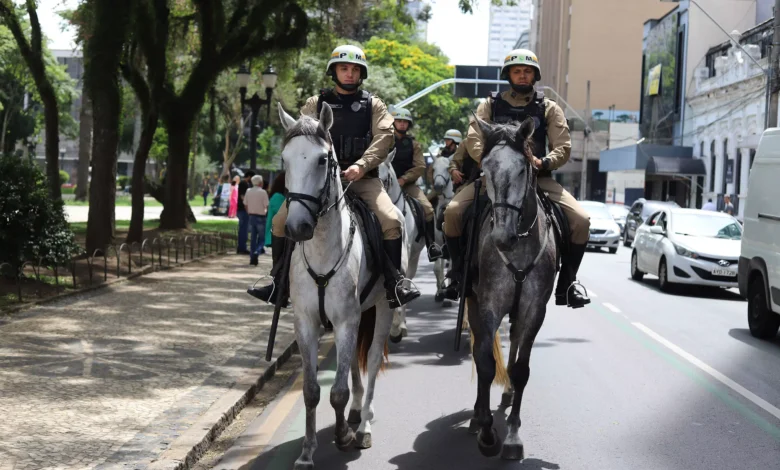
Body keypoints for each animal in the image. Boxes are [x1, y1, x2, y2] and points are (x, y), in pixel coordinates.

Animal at [278, 103, 406, 470]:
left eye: (323, 159)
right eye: (284, 159)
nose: (297, 227)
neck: (323, 248)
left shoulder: (347, 320)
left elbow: (337, 391)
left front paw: (343, 436)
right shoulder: (307, 322)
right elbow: (312, 391)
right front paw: (307, 452)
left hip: (381, 308)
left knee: (372, 360)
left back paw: (362, 426)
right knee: (353, 369)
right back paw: (355, 413)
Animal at [466, 116, 556, 458]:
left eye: (521, 169)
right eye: (485, 168)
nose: (502, 237)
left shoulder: (535, 309)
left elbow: (521, 369)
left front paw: (513, 436)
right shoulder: (489, 305)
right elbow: (486, 363)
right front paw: (487, 431)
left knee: (515, 342)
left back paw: (506, 396)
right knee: (480, 350)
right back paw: (478, 415)